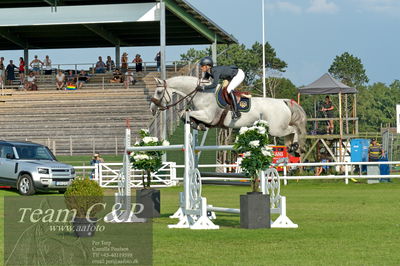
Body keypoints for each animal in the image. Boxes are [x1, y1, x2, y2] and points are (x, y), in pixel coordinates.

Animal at [149, 76, 306, 153]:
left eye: (158, 92)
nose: (152, 109)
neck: (201, 93)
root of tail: (283, 101)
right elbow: (187, 115)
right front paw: (198, 125)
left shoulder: (208, 116)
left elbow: (184, 113)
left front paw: (196, 124)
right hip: (276, 129)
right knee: (290, 133)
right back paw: (291, 147)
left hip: (276, 129)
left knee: (293, 130)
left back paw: (295, 146)